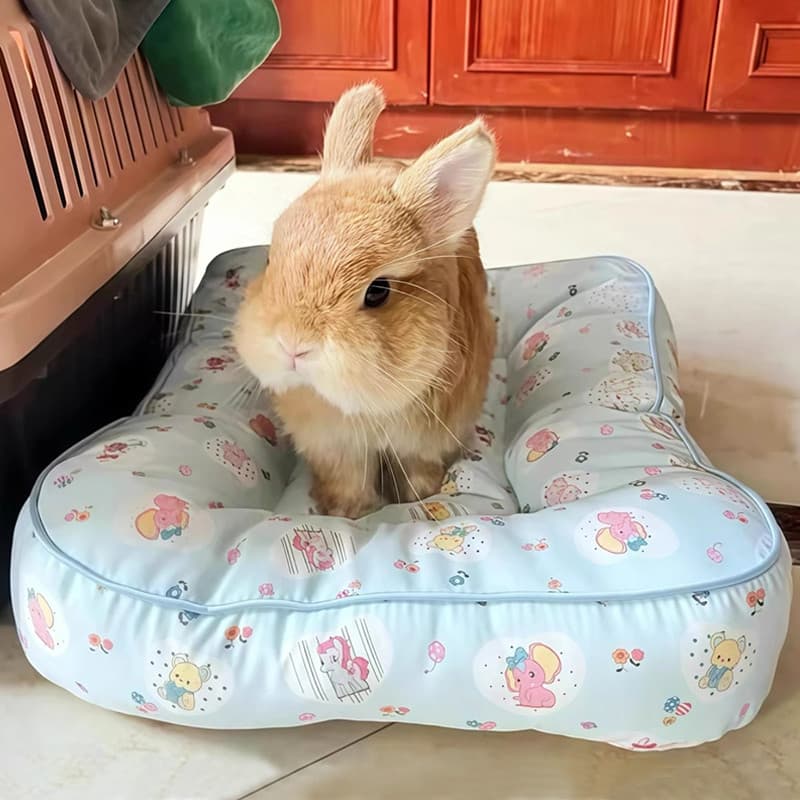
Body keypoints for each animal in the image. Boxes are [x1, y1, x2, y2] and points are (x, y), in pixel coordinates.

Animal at [235, 83, 497, 518]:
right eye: (271, 260)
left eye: (378, 291)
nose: (293, 346)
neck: (363, 409)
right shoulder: (335, 448)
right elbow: (347, 480)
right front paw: (345, 513)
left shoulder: (422, 446)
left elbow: (417, 473)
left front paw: (417, 500)